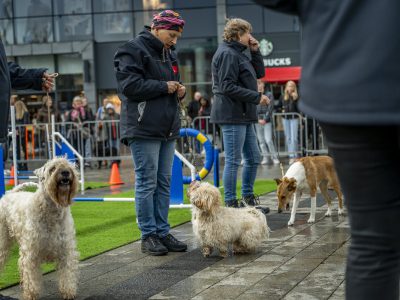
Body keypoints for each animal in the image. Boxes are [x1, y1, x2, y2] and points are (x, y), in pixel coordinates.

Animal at [0, 157, 79, 300]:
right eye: (52, 168)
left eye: (70, 166)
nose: (65, 172)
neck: (52, 210)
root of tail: (8, 194)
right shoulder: (31, 253)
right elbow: (31, 278)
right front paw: (31, 294)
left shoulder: (65, 249)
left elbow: (67, 274)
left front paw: (68, 292)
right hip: (3, 241)